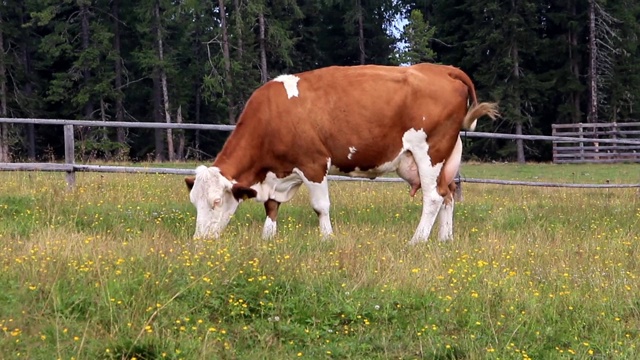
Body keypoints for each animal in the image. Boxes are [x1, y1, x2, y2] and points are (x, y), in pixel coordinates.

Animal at [182, 63, 498, 243]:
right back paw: (445, 240)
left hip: (428, 151)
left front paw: (327, 239)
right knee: (448, 194)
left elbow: (321, 206)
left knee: (433, 197)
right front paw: (267, 238)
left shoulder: (313, 164)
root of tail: (441, 68)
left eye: (215, 202)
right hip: (444, 157)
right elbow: (271, 206)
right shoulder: (277, 173)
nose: (200, 241)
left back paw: (416, 241)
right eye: (193, 202)